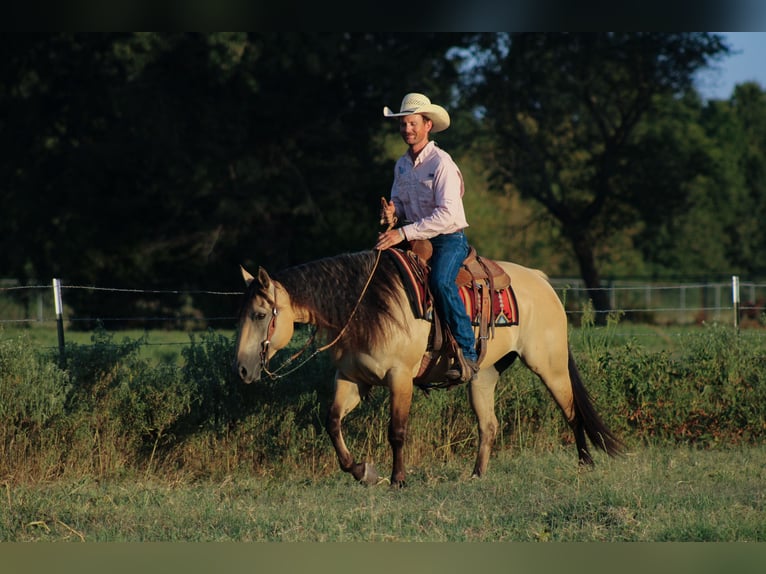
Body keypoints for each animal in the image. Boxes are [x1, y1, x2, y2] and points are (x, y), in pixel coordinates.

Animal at [234, 249, 623, 487]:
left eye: (260, 314)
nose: (242, 370)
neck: (369, 306)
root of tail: (541, 280)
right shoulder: (351, 379)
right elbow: (332, 423)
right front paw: (361, 471)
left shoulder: (400, 377)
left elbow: (396, 431)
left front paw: (397, 479)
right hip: (484, 375)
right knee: (489, 425)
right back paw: (477, 476)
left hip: (550, 365)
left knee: (571, 411)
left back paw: (585, 463)